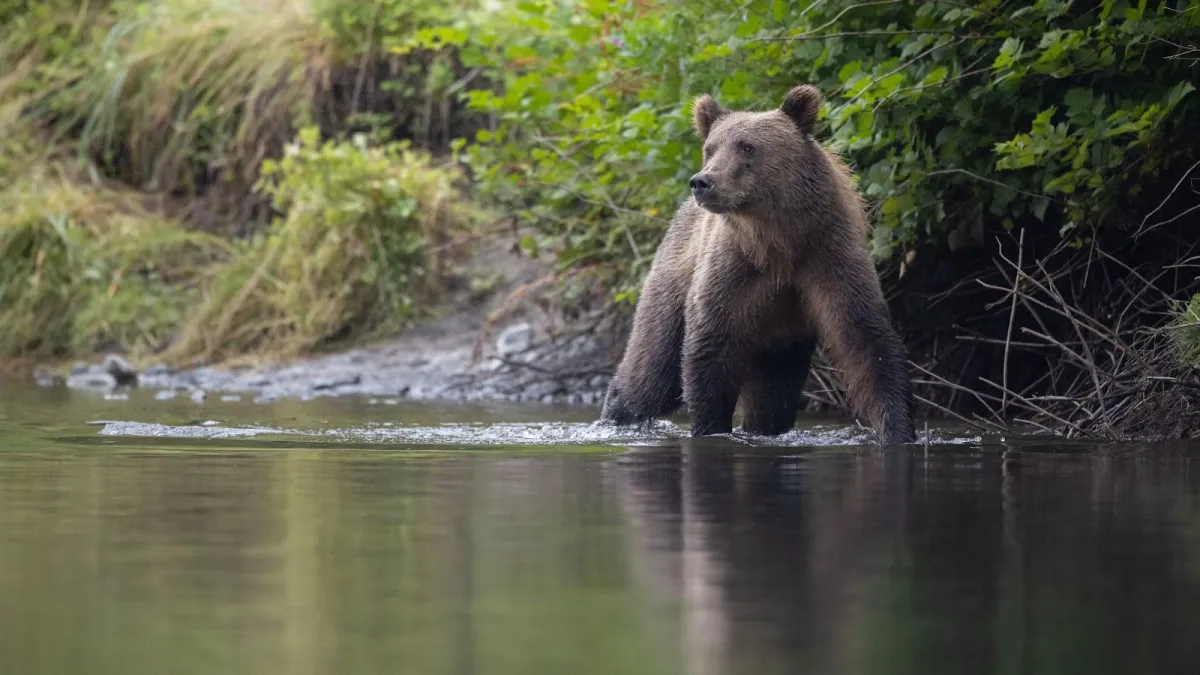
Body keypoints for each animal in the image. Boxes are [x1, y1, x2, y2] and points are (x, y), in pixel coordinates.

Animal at [600, 81, 916, 444]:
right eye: (710, 148)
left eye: (747, 147)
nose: (702, 181)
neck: (777, 241)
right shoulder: (732, 271)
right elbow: (708, 346)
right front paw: (710, 427)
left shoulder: (828, 257)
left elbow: (866, 341)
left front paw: (898, 429)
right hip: (673, 284)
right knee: (652, 373)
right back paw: (616, 414)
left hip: (780, 340)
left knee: (773, 394)